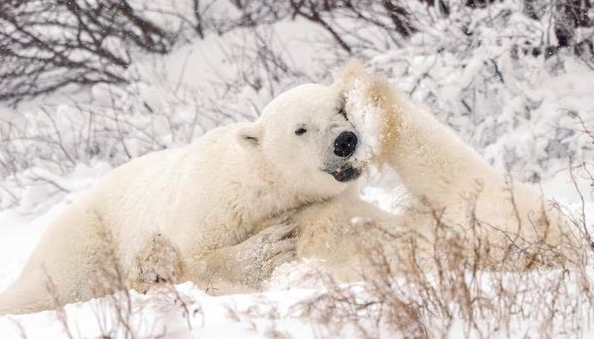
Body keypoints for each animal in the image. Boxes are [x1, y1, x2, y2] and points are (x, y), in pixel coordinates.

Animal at [0, 80, 366, 316]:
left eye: (340, 109)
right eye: (300, 129)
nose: (345, 141)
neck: (259, 183)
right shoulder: (212, 201)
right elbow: (195, 256)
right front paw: (270, 248)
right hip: (86, 240)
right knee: (57, 286)